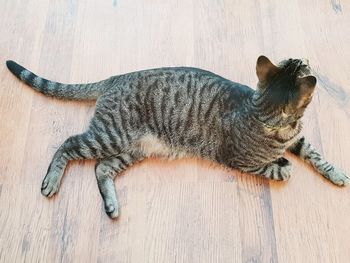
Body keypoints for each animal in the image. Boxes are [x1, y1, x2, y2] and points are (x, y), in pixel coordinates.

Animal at [6, 56, 350, 220]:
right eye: (303, 62)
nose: (307, 56)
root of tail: (116, 77)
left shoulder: (298, 140)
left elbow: (315, 154)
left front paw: (336, 172)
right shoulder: (241, 161)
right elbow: (280, 171)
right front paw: (283, 166)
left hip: (132, 149)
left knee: (101, 168)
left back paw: (112, 205)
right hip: (110, 136)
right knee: (67, 144)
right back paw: (51, 181)